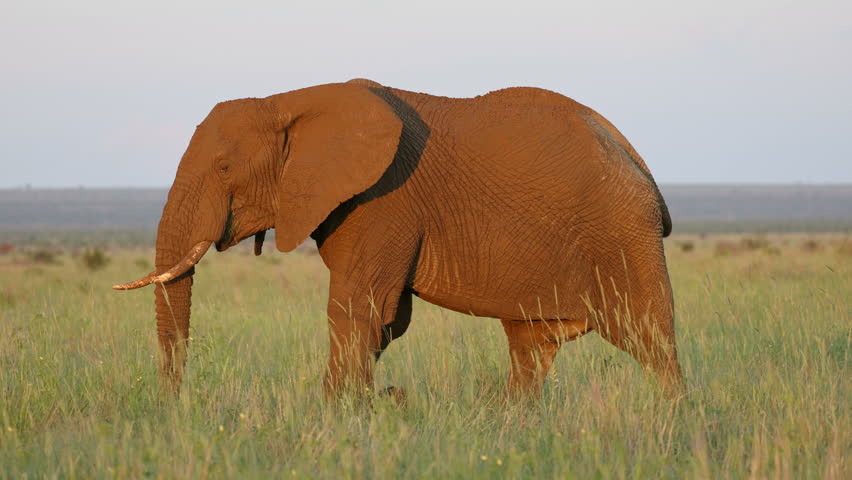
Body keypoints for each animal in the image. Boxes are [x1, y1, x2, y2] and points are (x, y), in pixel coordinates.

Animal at [114, 78, 683, 399]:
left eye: (225, 167)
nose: (176, 408)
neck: (286, 101)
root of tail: (642, 168)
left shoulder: (384, 201)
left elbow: (359, 310)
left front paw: (340, 420)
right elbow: (386, 322)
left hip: (623, 234)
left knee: (651, 342)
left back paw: (668, 427)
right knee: (529, 349)